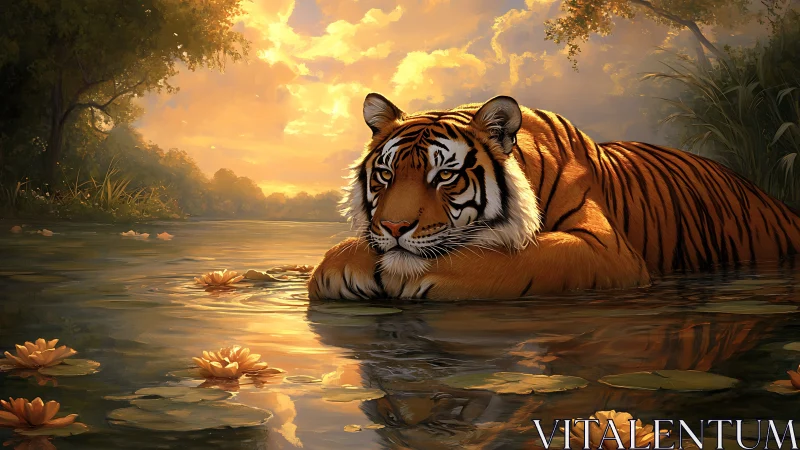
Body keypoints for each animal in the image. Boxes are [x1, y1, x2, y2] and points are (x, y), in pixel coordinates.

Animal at [307, 93, 800, 300]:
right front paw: (337, 268)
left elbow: (515, 257)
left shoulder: (607, 249)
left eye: (445, 175)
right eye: (386, 175)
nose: (394, 227)